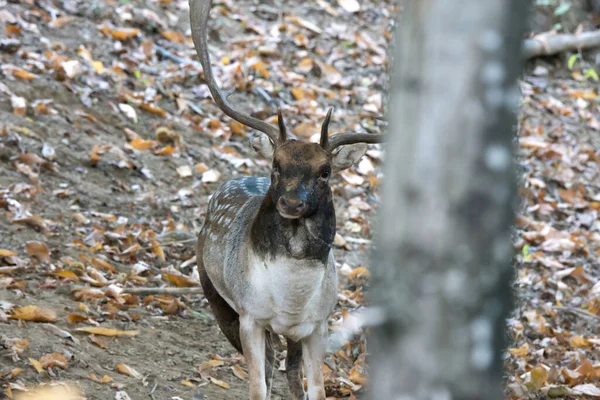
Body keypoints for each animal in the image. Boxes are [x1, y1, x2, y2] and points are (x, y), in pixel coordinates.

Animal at [190, 1, 382, 398]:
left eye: (325, 171)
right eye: (276, 165)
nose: (292, 203)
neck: (290, 300)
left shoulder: (318, 324)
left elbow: (316, 390)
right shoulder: (249, 316)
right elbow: (258, 387)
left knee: (290, 371)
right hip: (215, 295)